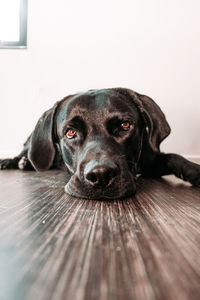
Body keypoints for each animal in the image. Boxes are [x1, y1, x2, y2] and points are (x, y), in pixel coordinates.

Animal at [0, 87, 200, 199]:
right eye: (70, 132)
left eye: (125, 125)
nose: (101, 175)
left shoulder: (150, 161)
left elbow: (174, 157)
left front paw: (195, 170)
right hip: (31, 143)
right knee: (26, 153)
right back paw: (13, 161)